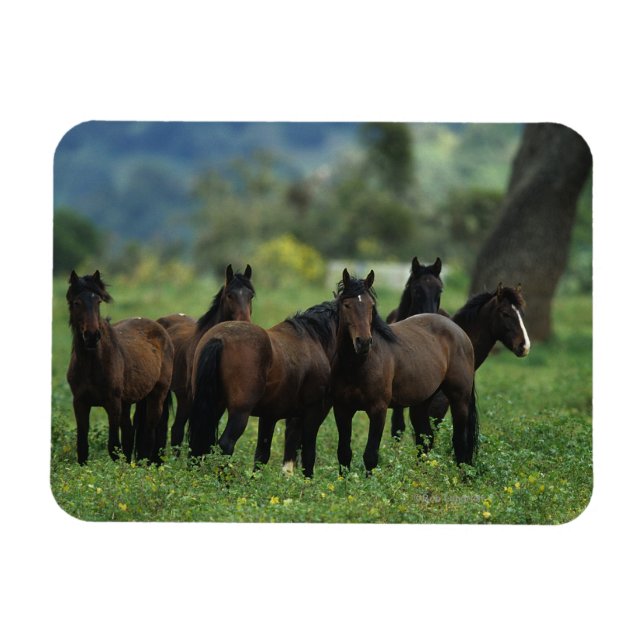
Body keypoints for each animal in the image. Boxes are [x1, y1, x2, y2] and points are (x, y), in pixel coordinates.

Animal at [66, 270, 174, 465]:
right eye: (77, 302)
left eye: (98, 301)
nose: (92, 336)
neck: (92, 363)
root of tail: (161, 329)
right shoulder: (80, 403)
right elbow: (82, 448)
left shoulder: (113, 403)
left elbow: (113, 446)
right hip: (128, 402)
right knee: (130, 434)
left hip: (156, 395)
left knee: (149, 432)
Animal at [156, 264, 254, 455]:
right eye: (230, 295)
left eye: (251, 295)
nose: (245, 324)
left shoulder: (219, 403)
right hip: (183, 397)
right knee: (176, 429)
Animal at [188, 301, 338, 477]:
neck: (313, 339)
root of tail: (219, 339)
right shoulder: (313, 411)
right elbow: (308, 452)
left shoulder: (269, 415)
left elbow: (262, 453)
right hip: (240, 412)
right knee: (226, 444)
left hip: (213, 406)